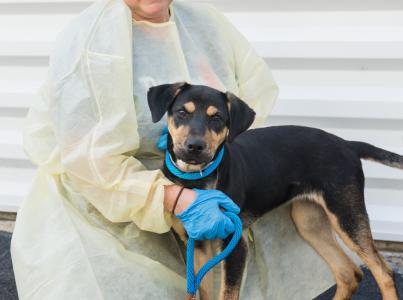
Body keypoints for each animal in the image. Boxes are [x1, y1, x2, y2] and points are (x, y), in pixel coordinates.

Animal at [147, 82, 402, 300]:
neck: (196, 178)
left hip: (346, 215)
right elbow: (203, 292)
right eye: (182, 112)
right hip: (309, 222)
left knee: (384, 273)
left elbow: (227, 294)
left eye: (217, 117)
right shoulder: (198, 245)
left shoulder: (235, 244)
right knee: (349, 274)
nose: (195, 147)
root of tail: (348, 144)